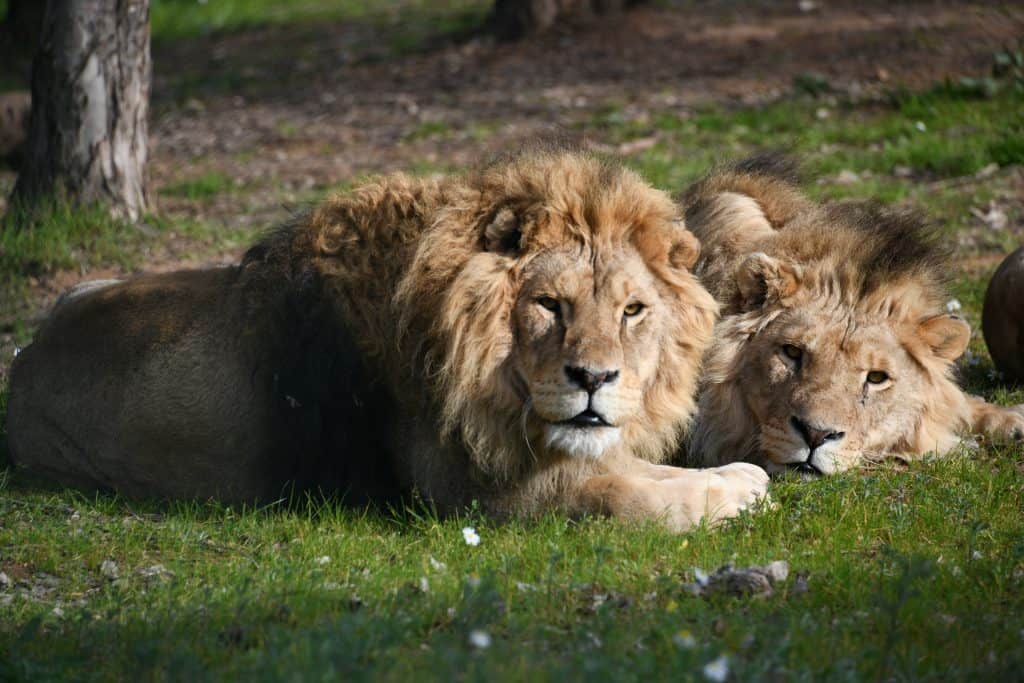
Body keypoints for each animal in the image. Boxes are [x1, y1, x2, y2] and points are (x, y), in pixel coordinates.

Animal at [6, 152, 770, 532]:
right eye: (550, 305)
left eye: (633, 311)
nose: (594, 379)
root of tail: (22, 360)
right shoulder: (469, 496)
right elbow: (625, 497)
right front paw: (739, 491)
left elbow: (639, 472)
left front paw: (738, 476)